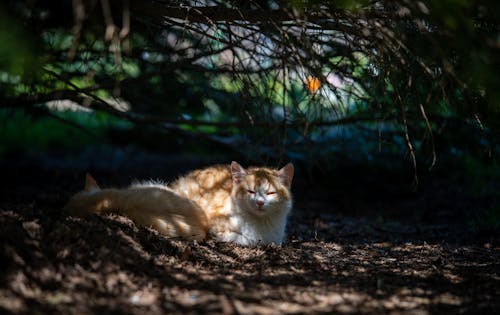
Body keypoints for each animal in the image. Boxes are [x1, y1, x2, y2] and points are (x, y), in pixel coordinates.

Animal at [64, 163, 294, 247]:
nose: (260, 202)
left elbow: (267, 242)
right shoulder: (213, 222)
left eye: (271, 193)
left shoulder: (277, 238)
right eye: (251, 192)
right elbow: (245, 239)